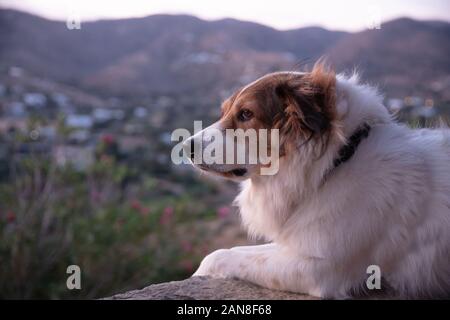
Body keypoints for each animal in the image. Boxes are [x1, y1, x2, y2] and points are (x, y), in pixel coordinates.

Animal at [183, 61, 450, 298]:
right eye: (225, 111)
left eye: (246, 114)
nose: (186, 147)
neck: (338, 161)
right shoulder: (301, 241)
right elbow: (236, 250)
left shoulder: (319, 269)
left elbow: (220, 255)